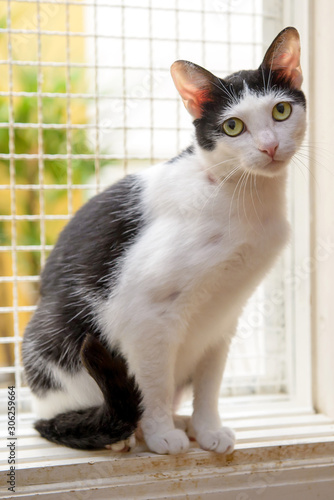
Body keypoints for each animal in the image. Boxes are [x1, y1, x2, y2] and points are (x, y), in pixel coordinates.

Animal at [22, 28, 306, 458]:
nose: (270, 146)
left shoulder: (223, 319)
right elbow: (153, 383)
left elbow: (209, 383)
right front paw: (160, 435)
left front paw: (208, 429)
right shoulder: (146, 314)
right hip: (54, 331)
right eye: (233, 127)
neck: (245, 198)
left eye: (281, 111)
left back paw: (177, 421)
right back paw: (125, 434)